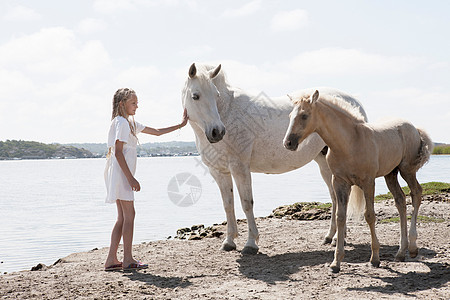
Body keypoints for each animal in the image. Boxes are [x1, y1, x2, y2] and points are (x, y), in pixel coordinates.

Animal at [181, 64, 368, 254]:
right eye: (195, 96)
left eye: (216, 95)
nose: (217, 132)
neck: (228, 111)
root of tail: (353, 102)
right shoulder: (219, 172)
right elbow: (228, 204)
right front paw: (229, 242)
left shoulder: (240, 168)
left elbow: (246, 203)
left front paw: (251, 244)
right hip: (324, 163)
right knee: (336, 197)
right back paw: (331, 237)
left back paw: (337, 238)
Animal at [284, 89, 434, 272]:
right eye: (290, 115)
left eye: (304, 115)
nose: (288, 143)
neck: (349, 143)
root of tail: (414, 127)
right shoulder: (339, 182)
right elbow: (341, 216)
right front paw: (336, 262)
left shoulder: (368, 182)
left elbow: (369, 215)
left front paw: (375, 258)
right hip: (391, 174)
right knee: (400, 201)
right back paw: (400, 252)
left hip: (407, 170)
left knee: (416, 194)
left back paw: (412, 248)